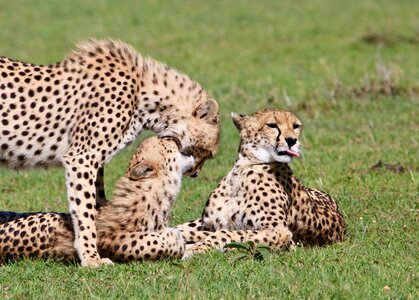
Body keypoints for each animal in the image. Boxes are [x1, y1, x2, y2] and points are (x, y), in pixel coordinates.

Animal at [176, 109, 346, 256]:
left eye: (295, 126)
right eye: (272, 125)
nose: (292, 140)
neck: (244, 167)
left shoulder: (280, 232)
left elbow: (228, 234)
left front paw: (196, 248)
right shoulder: (207, 224)